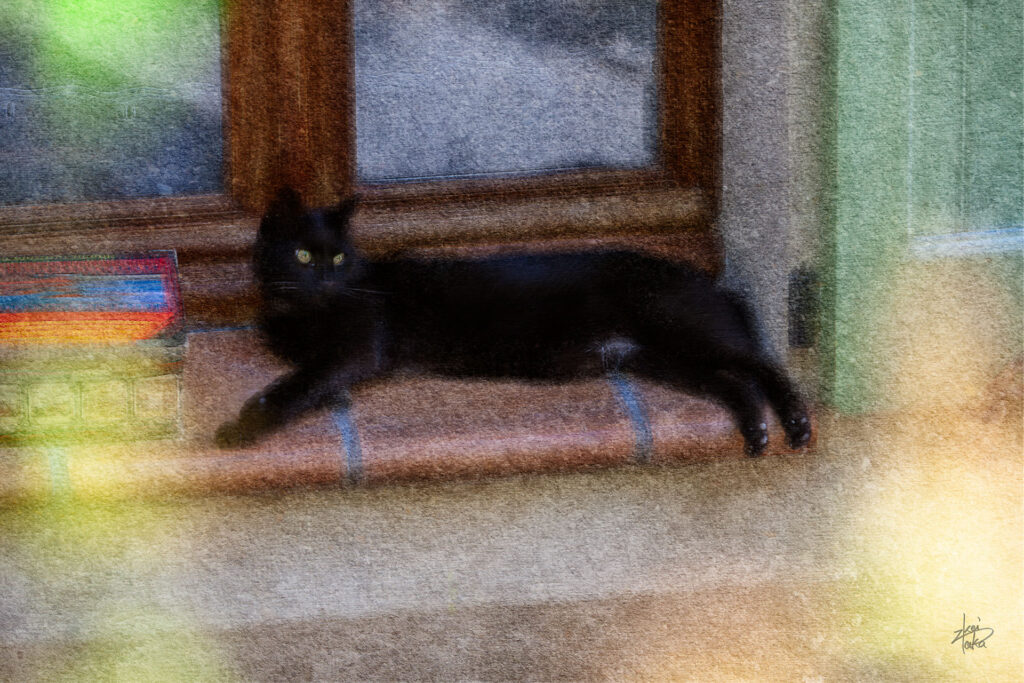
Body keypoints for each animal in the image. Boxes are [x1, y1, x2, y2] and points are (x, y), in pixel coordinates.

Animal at [214, 188, 806, 454]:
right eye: (303, 256)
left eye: (337, 257)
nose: (326, 276)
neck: (304, 312)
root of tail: (713, 281)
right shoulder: (331, 355)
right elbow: (313, 378)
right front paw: (328, 401)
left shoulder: (356, 348)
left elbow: (295, 384)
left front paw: (242, 427)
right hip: (662, 359)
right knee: (735, 382)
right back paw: (757, 431)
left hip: (680, 327)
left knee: (762, 363)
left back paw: (797, 423)